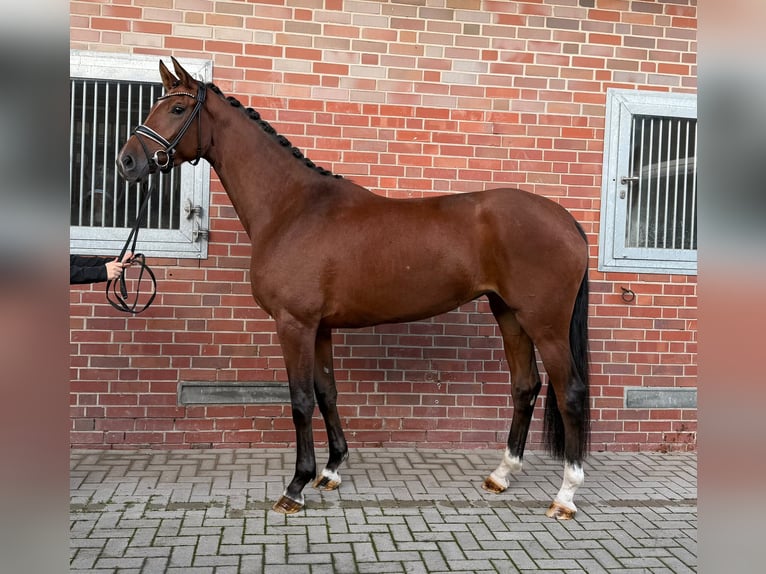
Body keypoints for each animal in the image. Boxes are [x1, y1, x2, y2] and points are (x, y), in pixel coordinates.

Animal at [117, 57, 591, 520]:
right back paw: (502, 474)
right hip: (508, 313)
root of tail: (567, 220)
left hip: (546, 324)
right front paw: (329, 471)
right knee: (525, 386)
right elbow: (327, 393)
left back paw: (565, 495)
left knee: (569, 392)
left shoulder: (294, 325)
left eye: (178, 109)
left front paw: (296, 486)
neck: (292, 209)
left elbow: (301, 401)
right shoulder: (320, 327)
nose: (127, 162)